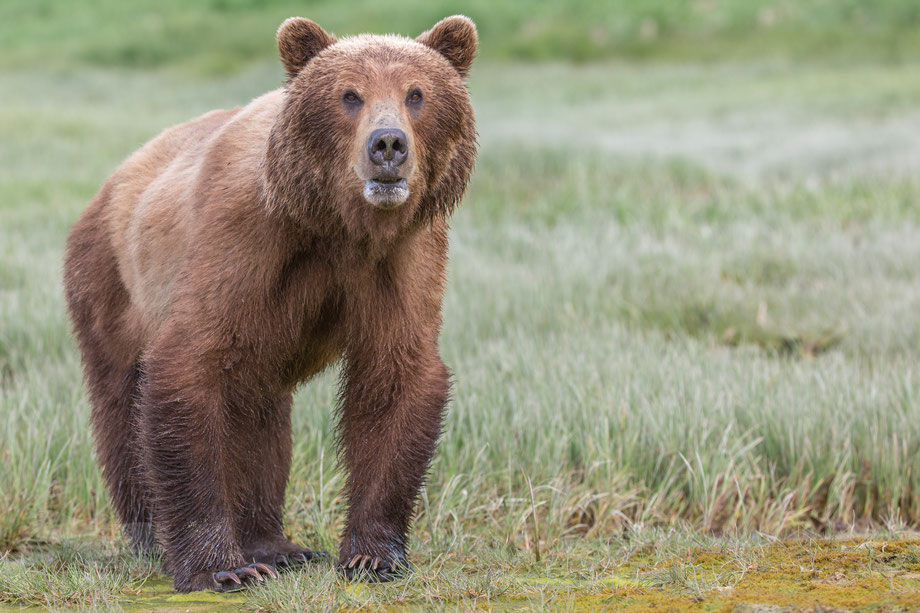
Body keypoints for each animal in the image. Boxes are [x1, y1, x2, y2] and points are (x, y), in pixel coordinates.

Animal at [63, 15, 478, 592]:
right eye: (349, 95)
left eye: (416, 93)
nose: (389, 144)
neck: (336, 226)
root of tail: (111, 182)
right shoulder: (243, 238)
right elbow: (188, 363)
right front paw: (221, 567)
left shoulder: (404, 254)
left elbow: (395, 376)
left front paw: (373, 556)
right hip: (110, 282)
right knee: (122, 402)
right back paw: (154, 535)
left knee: (259, 414)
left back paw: (277, 545)